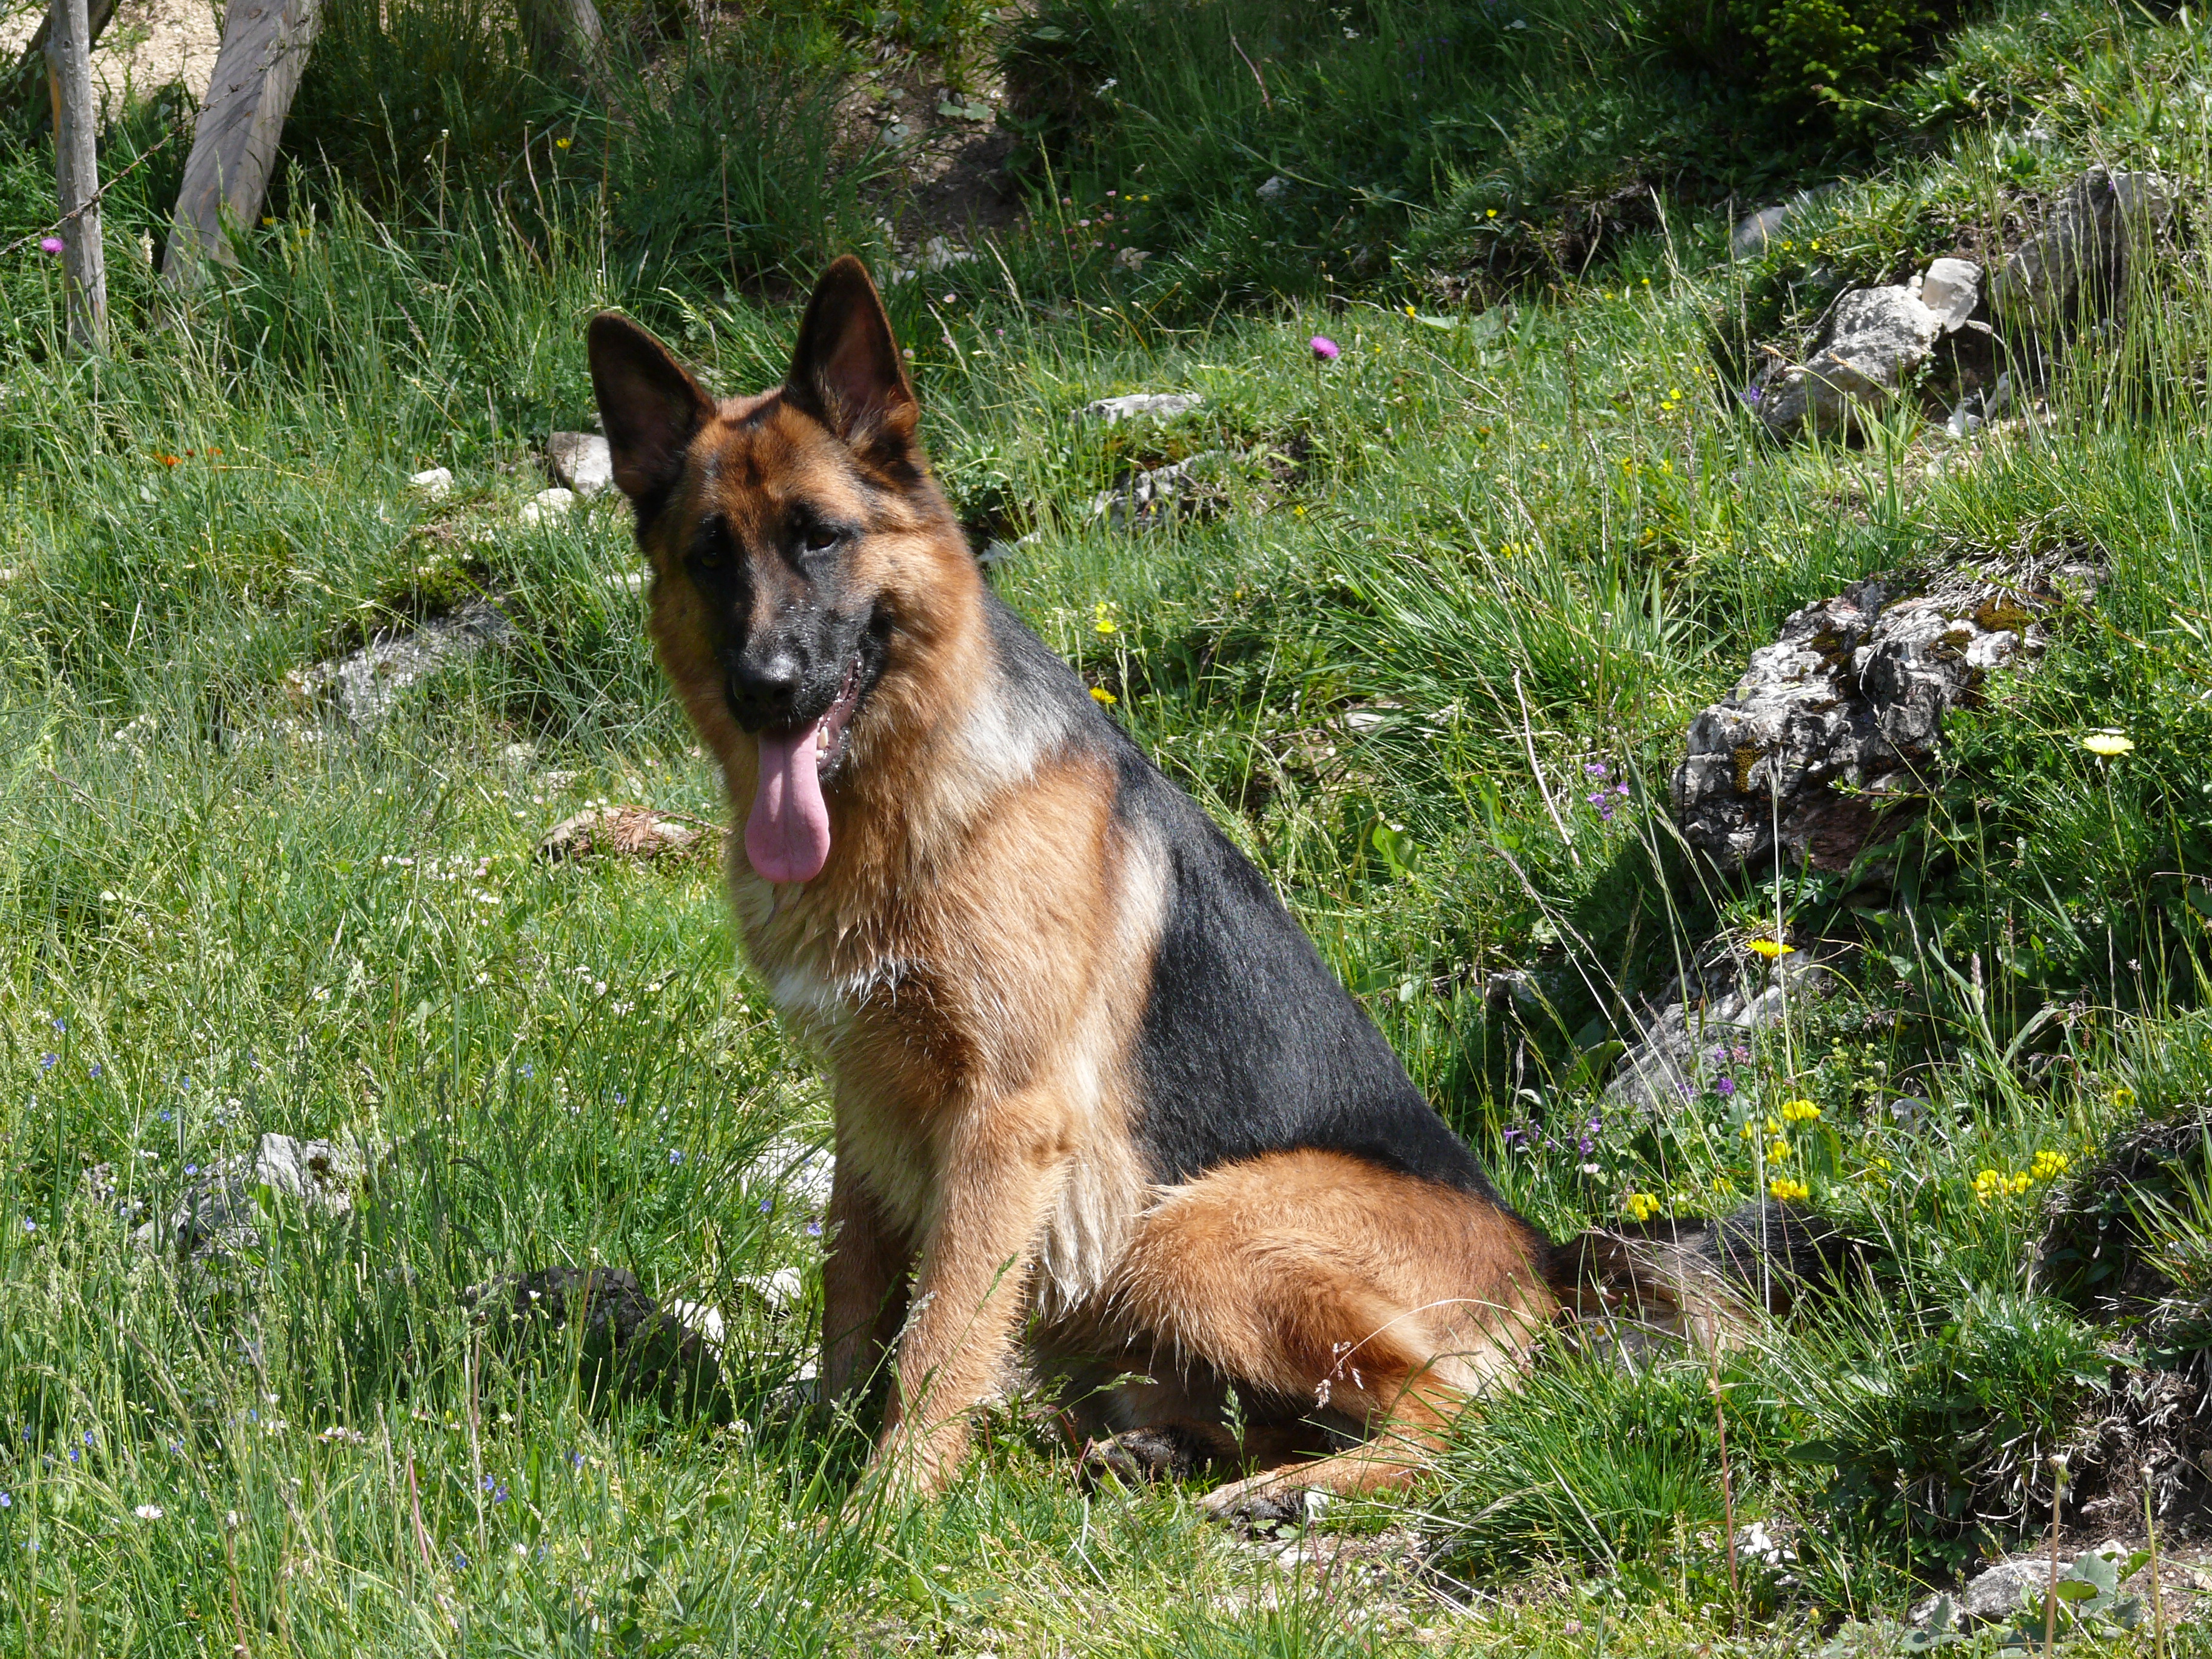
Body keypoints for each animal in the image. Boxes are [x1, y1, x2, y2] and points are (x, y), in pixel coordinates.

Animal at [584, 256, 1690, 1521]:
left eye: (820, 537)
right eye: (711, 555)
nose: (768, 688)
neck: (912, 797)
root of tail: (1544, 1266)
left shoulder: (1001, 1124)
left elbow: (940, 1338)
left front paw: (881, 1511)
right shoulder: (864, 1108)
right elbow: (853, 1297)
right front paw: (822, 1441)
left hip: (1191, 1228)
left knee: (1453, 1412)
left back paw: (1290, 1490)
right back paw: (1156, 1452)